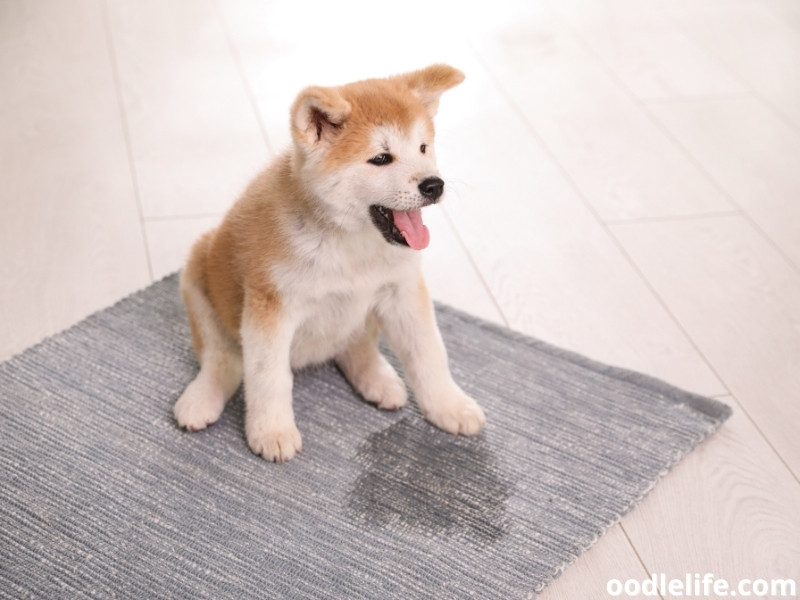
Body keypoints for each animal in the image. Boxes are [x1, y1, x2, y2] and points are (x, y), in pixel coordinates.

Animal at [174, 63, 484, 462]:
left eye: (422, 148)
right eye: (381, 158)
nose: (435, 185)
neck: (351, 243)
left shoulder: (403, 293)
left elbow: (429, 355)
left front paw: (449, 406)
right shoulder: (270, 307)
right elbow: (269, 377)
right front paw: (271, 430)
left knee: (356, 344)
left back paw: (378, 378)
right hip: (198, 272)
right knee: (223, 358)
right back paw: (202, 398)